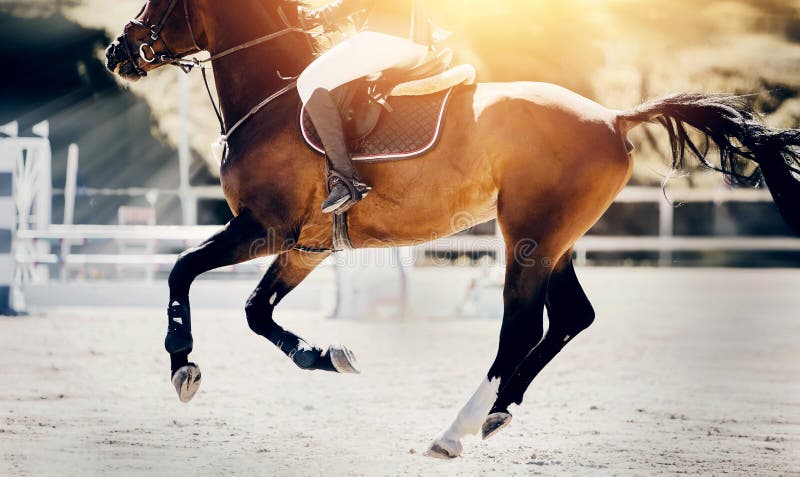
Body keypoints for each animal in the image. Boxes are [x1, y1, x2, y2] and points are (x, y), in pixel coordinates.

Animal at [106, 0, 800, 458]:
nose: (118, 51)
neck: (272, 100)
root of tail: (614, 116)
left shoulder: (265, 228)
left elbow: (182, 269)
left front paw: (182, 366)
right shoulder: (306, 246)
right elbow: (255, 311)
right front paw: (324, 355)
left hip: (526, 239)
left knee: (521, 329)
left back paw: (457, 430)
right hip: (555, 240)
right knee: (572, 318)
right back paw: (496, 417)